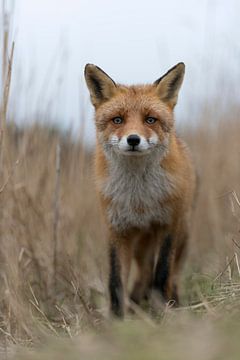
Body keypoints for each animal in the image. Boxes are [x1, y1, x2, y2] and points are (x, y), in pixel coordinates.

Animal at [84, 62, 195, 318]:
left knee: (172, 275)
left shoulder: (167, 226)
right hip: (140, 244)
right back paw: (136, 303)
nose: (133, 140)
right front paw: (117, 319)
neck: (139, 198)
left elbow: (162, 274)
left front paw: (161, 312)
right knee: (143, 273)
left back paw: (173, 302)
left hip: (182, 235)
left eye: (150, 119)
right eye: (117, 120)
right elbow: (116, 281)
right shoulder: (117, 230)